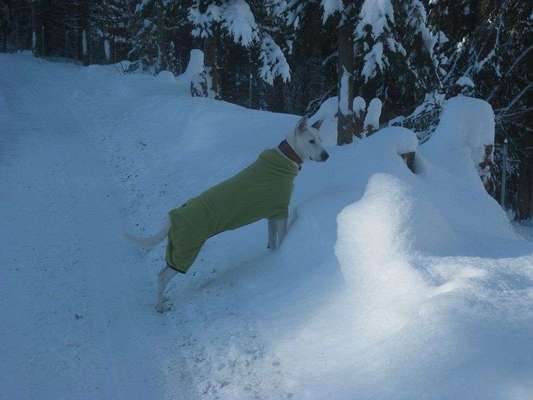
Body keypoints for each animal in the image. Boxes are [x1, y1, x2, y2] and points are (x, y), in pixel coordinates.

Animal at [127, 115, 326, 312]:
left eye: (321, 140)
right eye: (311, 141)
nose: (326, 155)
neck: (285, 157)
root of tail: (173, 216)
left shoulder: (272, 215)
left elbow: (272, 241)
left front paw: (272, 255)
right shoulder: (281, 212)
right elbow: (283, 237)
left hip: (179, 247)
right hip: (185, 249)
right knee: (162, 276)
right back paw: (160, 305)